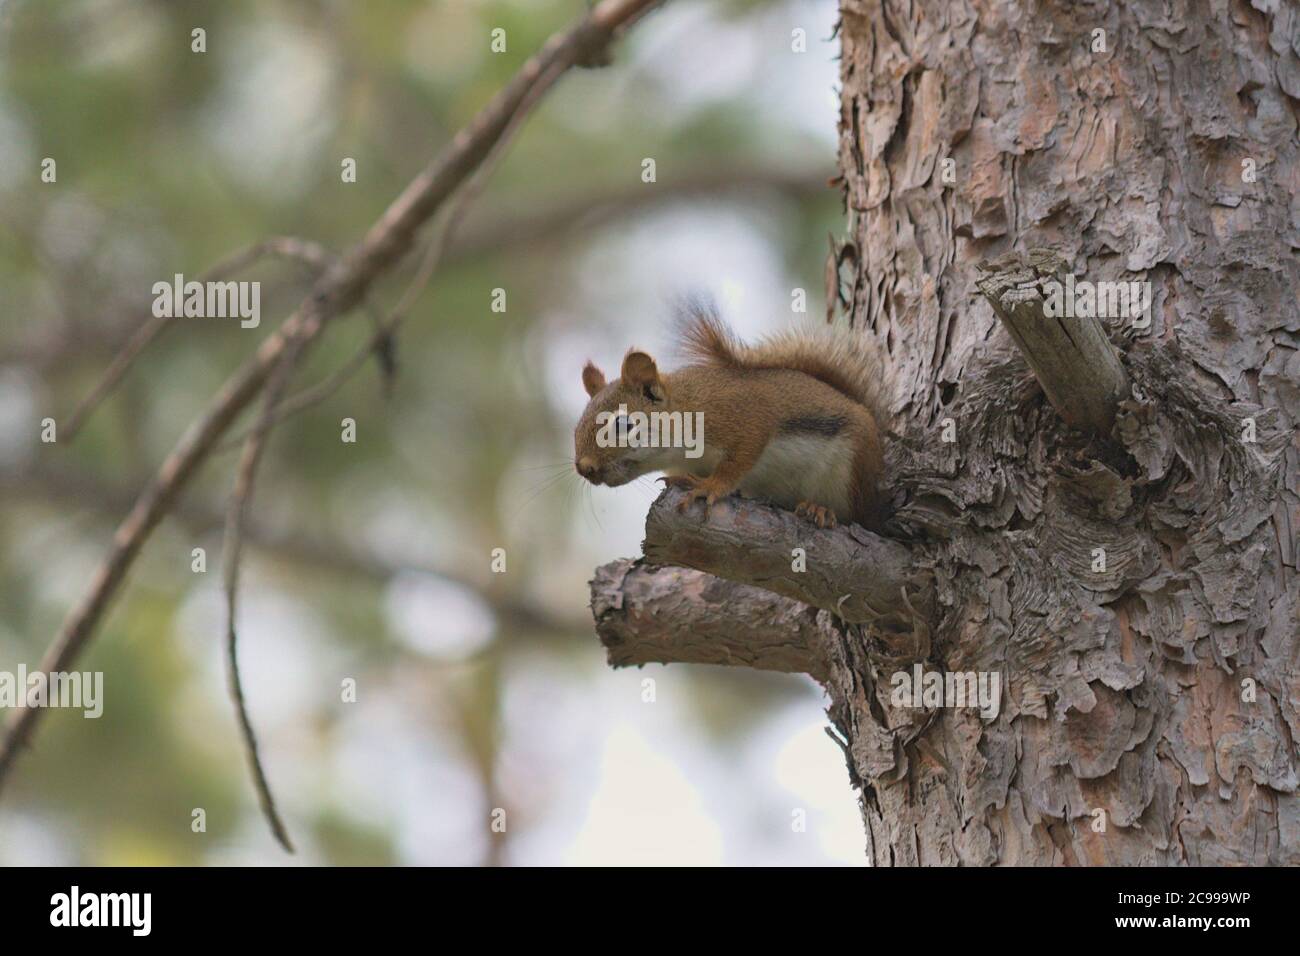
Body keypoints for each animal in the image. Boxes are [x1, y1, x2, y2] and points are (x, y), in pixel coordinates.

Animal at [573, 299, 888, 530]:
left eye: (622, 424)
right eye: (576, 429)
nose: (584, 468)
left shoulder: (744, 416)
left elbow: (737, 462)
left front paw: (707, 486)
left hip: (851, 470)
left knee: (853, 515)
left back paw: (819, 509)